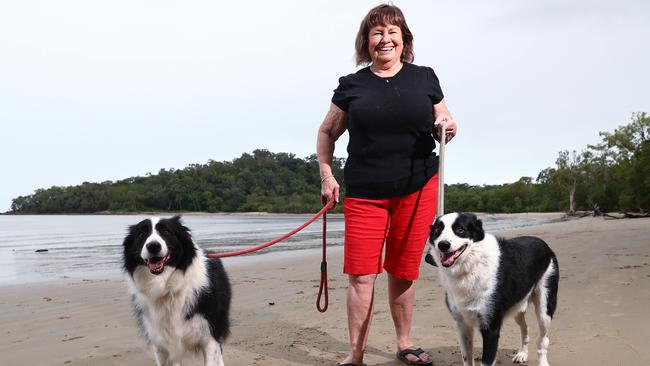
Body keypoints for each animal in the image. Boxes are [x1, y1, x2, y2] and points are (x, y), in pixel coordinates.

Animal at [123, 216, 232, 364]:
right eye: (141, 234)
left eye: (166, 231)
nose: (153, 246)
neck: (167, 289)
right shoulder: (161, 343)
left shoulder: (209, 336)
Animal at [426, 213, 556, 366]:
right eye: (437, 231)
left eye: (460, 230)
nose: (443, 245)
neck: (471, 266)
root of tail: (544, 244)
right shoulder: (462, 325)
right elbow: (466, 358)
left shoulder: (491, 328)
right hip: (518, 307)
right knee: (525, 328)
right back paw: (522, 354)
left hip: (544, 310)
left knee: (543, 340)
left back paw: (542, 361)